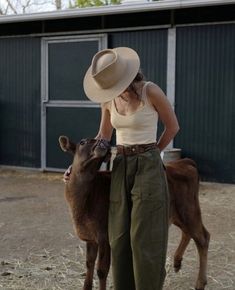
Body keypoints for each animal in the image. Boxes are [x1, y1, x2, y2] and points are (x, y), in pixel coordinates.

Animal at [58, 136, 209, 290]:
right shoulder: (90, 236)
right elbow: (89, 264)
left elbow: (101, 270)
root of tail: (184, 162)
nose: (103, 141)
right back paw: (177, 262)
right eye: (82, 142)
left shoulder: (104, 235)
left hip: (189, 209)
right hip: (177, 213)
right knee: (188, 233)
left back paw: (200, 282)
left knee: (203, 238)